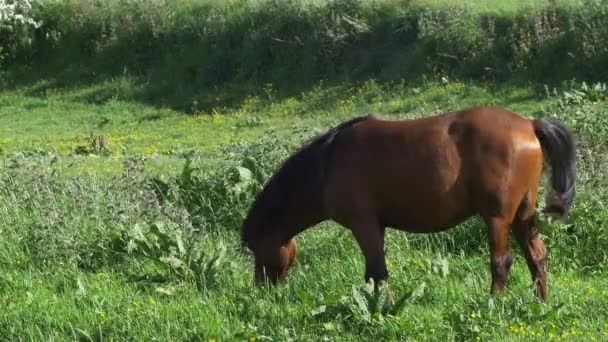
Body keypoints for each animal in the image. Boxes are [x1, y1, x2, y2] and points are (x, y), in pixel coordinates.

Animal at [241, 105, 576, 300]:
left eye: (256, 248)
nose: (261, 291)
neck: (327, 163)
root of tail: (529, 124)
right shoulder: (376, 225)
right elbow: (375, 272)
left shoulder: (363, 223)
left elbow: (377, 271)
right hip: (523, 214)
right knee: (537, 256)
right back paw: (540, 302)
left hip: (497, 217)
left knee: (501, 262)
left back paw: (493, 303)